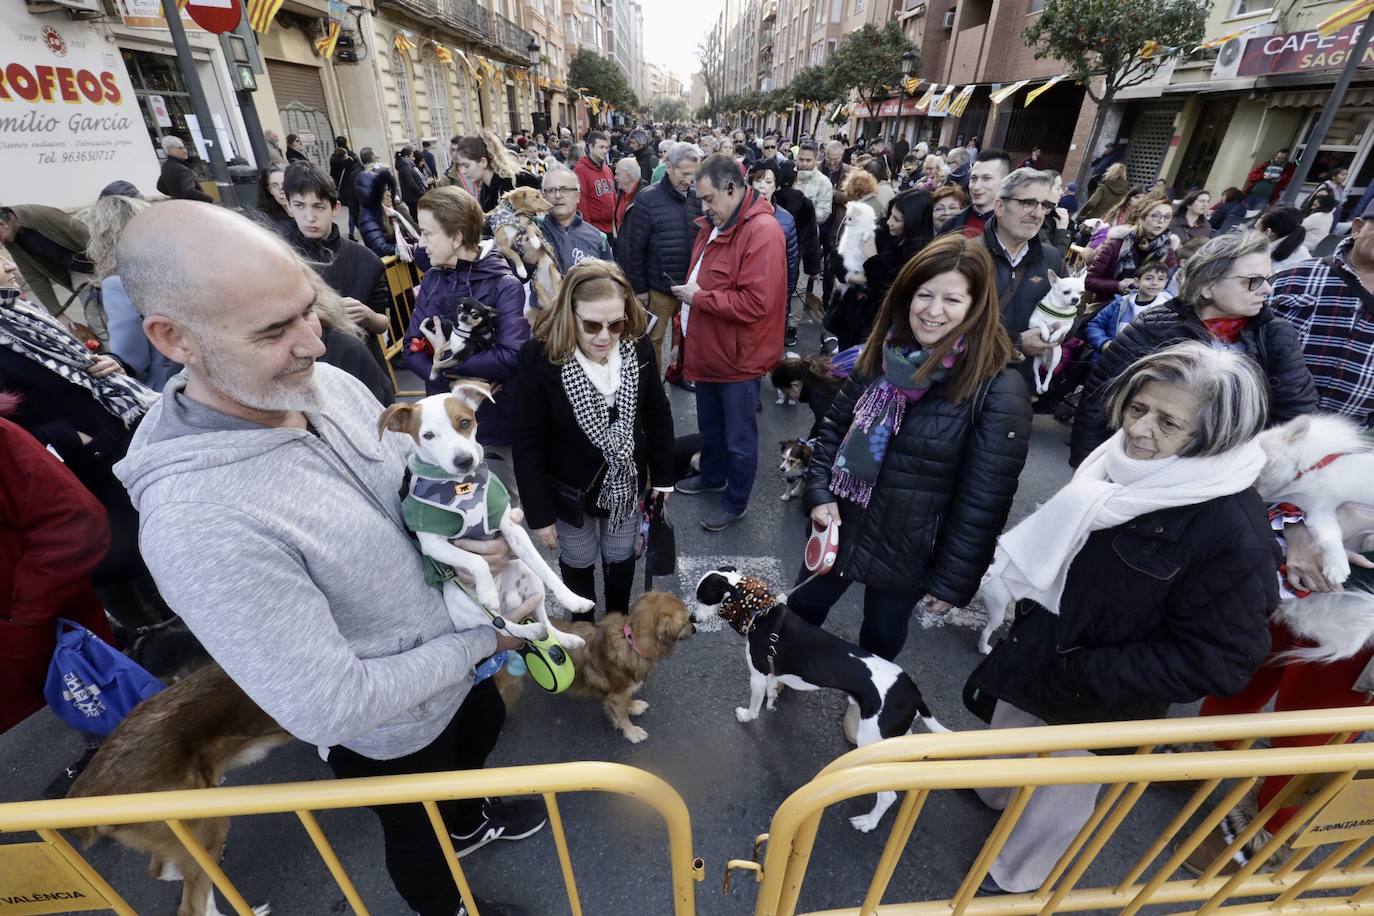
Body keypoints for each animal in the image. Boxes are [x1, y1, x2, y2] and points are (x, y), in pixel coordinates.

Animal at [379, 379, 588, 645]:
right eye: (428, 435)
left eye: (464, 422)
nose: (464, 460)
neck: (461, 486)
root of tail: (507, 602)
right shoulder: (433, 543)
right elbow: (476, 560)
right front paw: (487, 590)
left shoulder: (512, 528)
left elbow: (545, 568)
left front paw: (573, 599)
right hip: (463, 602)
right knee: (501, 626)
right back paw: (527, 628)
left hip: (527, 574)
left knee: (541, 614)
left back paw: (563, 637)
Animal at [557, 596, 692, 747]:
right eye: (686, 620)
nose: (695, 629)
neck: (630, 642)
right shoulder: (616, 695)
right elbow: (623, 716)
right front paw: (632, 732)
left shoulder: (624, 689)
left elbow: (627, 699)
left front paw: (633, 706)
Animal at [692, 565, 950, 829]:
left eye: (702, 598)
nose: (692, 619)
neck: (758, 611)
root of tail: (912, 691)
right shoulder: (773, 672)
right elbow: (773, 688)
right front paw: (773, 699)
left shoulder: (757, 676)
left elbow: (754, 707)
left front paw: (746, 716)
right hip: (892, 738)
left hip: (870, 738)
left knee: (888, 796)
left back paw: (868, 822)